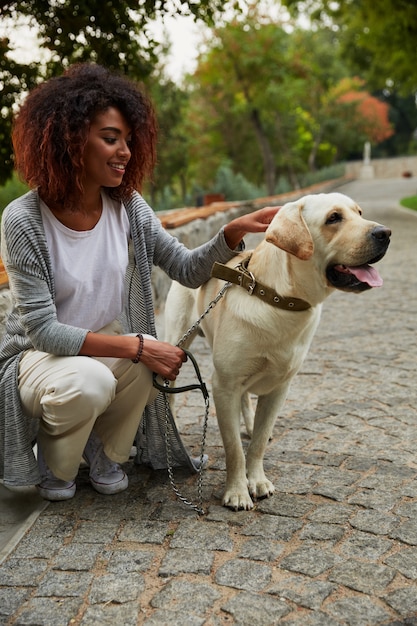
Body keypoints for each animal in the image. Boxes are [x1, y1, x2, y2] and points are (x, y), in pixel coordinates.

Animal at [163, 193, 390, 510]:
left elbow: (258, 442)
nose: (385, 233)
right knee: (171, 393)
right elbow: (234, 448)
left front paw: (256, 480)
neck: (279, 300)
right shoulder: (224, 384)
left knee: (245, 401)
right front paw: (237, 491)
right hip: (178, 342)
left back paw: (247, 423)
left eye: (359, 212)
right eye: (333, 218)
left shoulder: (280, 388)